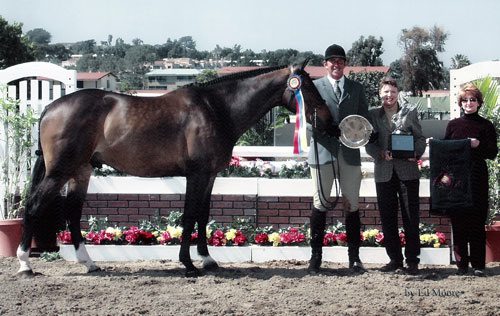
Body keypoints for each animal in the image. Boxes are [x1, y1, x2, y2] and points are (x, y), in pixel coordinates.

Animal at [17, 61, 334, 276]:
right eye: (307, 87)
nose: (329, 122)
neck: (217, 109)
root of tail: (51, 108)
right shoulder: (196, 175)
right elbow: (189, 216)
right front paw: (188, 264)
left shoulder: (209, 176)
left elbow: (203, 216)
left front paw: (208, 260)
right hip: (59, 172)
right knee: (33, 206)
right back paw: (24, 264)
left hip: (81, 171)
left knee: (72, 213)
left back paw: (89, 263)